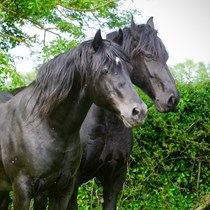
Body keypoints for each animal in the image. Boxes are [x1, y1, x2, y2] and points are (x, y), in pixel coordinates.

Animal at [0, 29, 147, 210]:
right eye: (105, 70)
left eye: (129, 70)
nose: (139, 111)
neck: (47, 127)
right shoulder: (22, 190)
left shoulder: (63, 188)